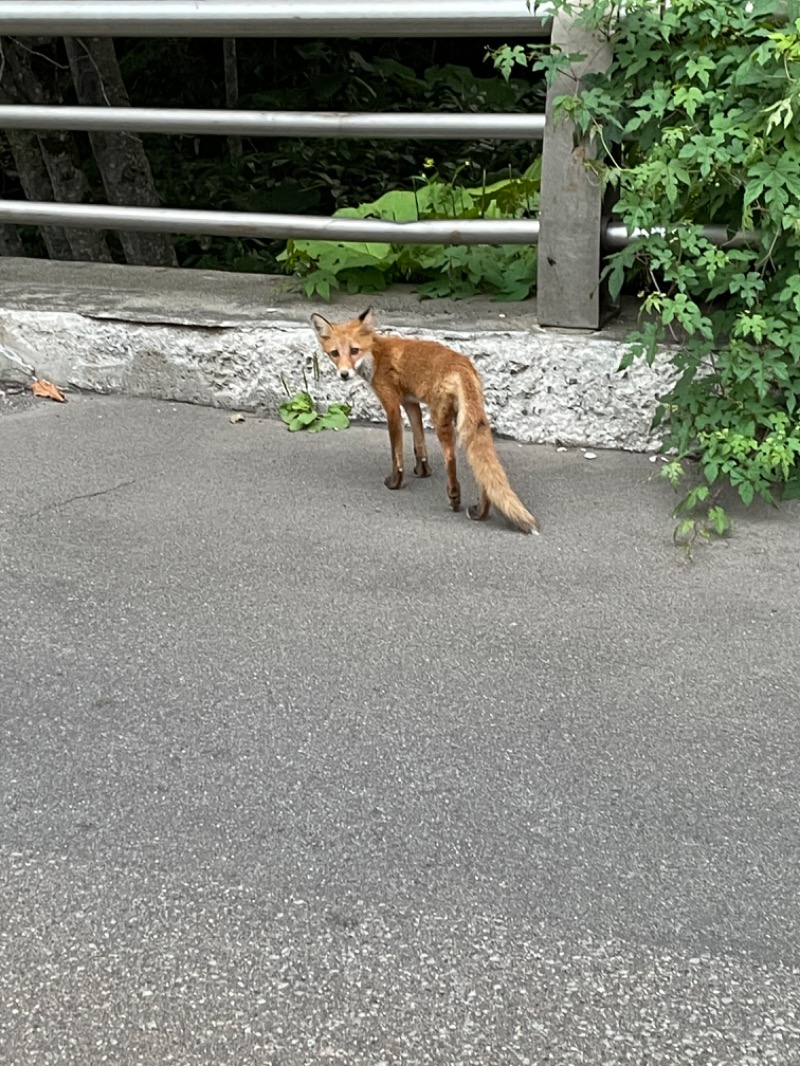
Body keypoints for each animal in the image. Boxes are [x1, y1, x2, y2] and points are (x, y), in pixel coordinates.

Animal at [311, 311, 539, 537]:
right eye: (334, 353)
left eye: (354, 350)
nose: (344, 374)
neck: (376, 355)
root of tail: (462, 364)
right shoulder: (411, 404)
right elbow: (419, 443)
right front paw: (423, 470)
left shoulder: (392, 406)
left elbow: (397, 453)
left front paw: (395, 482)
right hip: (468, 421)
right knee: (482, 468)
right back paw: (480, 511)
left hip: (441, 417)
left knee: (451, 457)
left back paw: (454, 497)